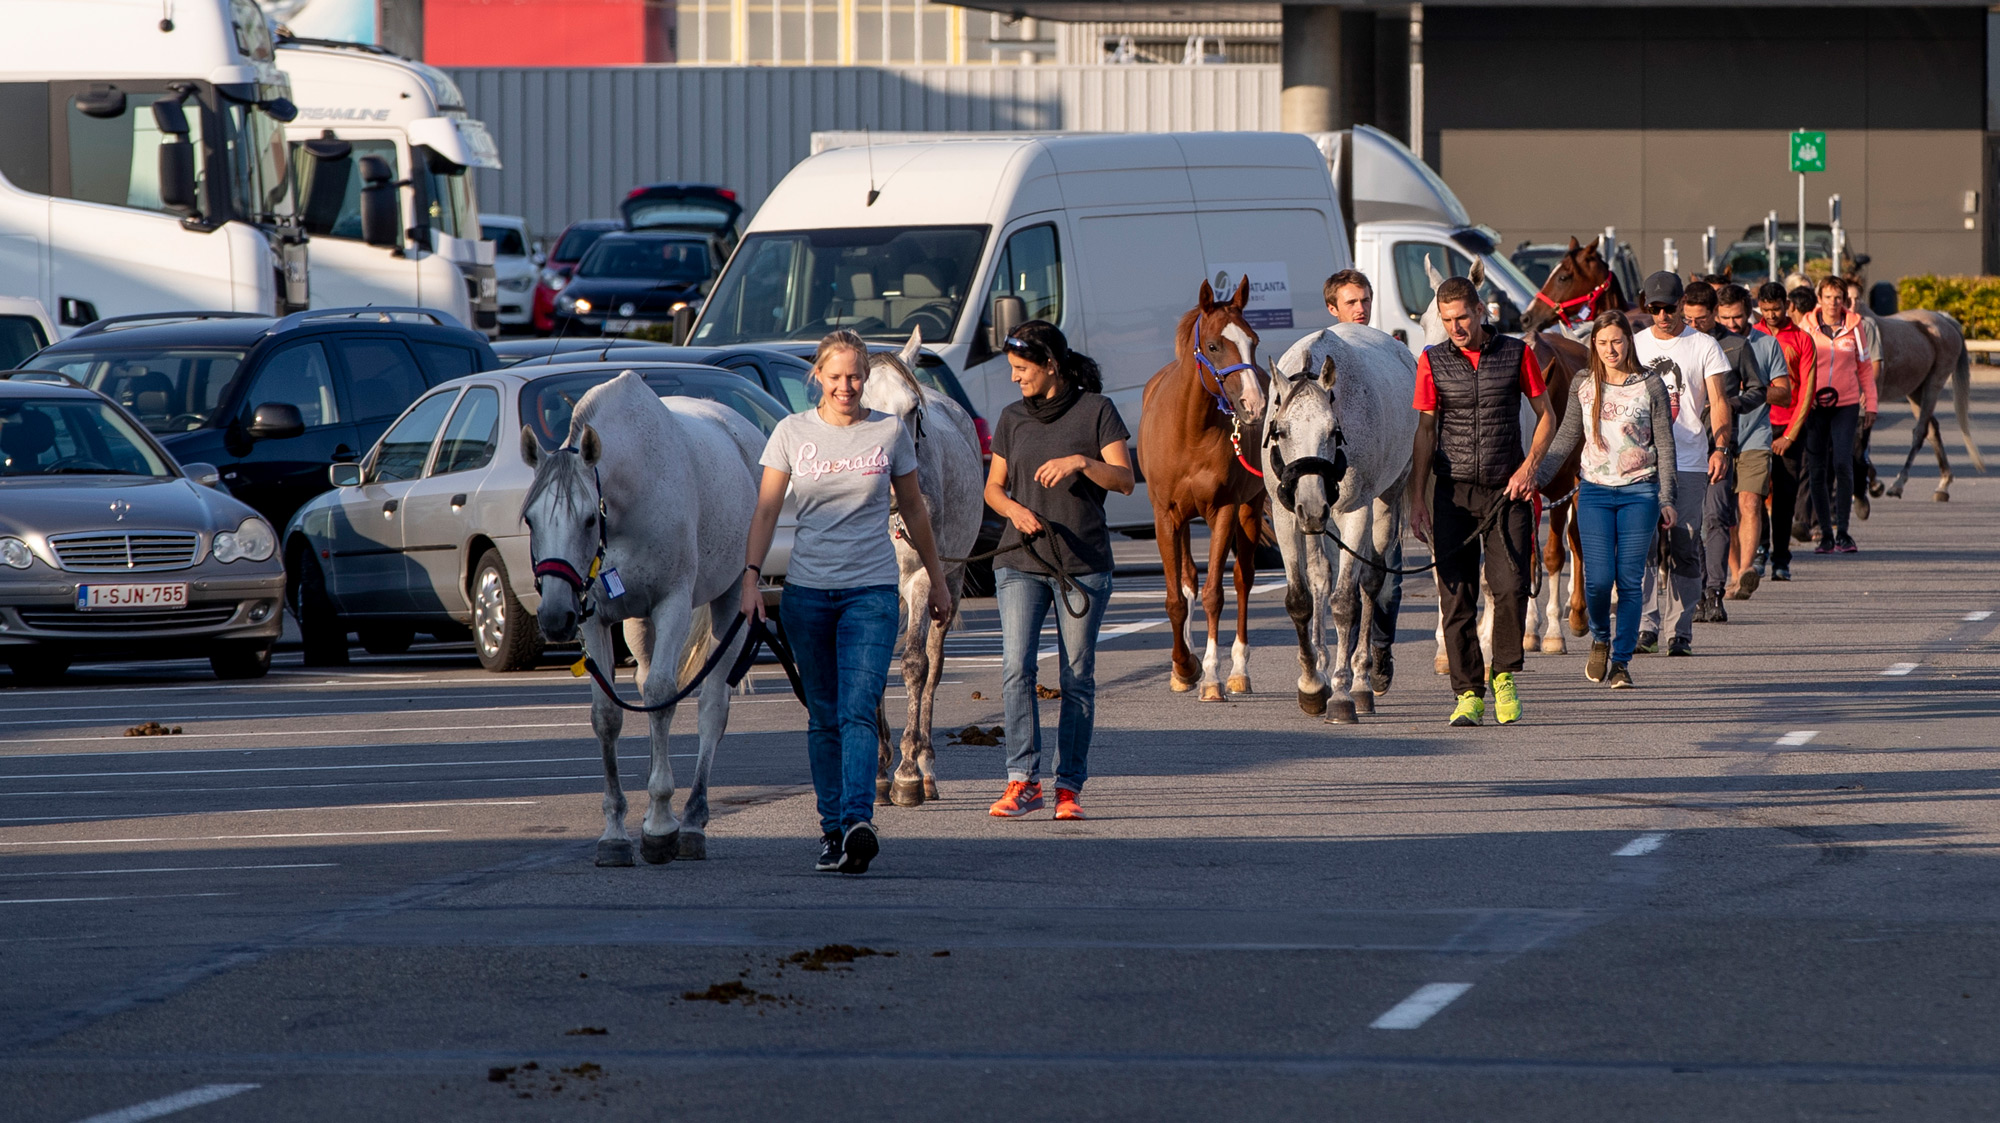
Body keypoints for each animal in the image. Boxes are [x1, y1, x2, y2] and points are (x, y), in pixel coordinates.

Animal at [520, 367, 760, 867]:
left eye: (589, 519)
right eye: (531, 519)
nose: (553, 617)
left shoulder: (671, 604)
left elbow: (664, 697)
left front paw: (662, 825)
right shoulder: (593, 618)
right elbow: (608, 716)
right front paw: (615, 831)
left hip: (730, 603)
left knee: (711, 709)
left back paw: (692, 820)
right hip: (636, 624)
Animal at [860, 327, 984, 799]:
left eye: (913, 410)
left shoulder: (919, 581)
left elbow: (914, 665)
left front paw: (907, 772)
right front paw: (877, 769)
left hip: (951, 579)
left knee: (933, 661)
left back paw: (927, 764)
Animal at [1144, 277, 1264, 699]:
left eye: (1253, 341)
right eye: (1213, 346)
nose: (1254, 404)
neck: (1190, 429)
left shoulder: (1225, 510)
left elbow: (1216, 593)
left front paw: (1211, 676)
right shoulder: (1165, 517)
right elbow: (1176, 599)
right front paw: (1183, 666)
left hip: (1250, 509)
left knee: (1243, 580)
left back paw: (1240, 671)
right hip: (1183, 521)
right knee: (1188, 582)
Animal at [1264, 323, 1424, 719]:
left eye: (1334, 431)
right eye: (1282, 431)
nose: (1311, 503)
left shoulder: (1356, 513)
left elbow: (1345, 603)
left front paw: (1340, 692)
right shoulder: (1285, 516)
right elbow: (1300, 599)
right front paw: (1311, 683)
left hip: (1385, 502)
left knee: (1371, 582)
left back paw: (1362, 681)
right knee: (1322, 575)